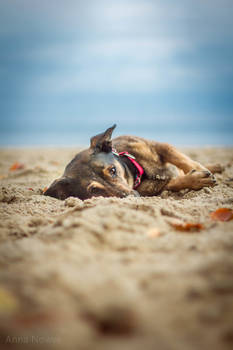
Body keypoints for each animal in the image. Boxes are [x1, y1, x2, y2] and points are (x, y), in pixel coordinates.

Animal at [44, 123, 220, 200]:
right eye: (94, 190)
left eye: (113, 170)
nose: (131, 198)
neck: (138, 169)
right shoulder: (156, 188)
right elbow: (175, 182)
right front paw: (196, 179)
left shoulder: (160, 146)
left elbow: (181, 158)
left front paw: (199, 170)